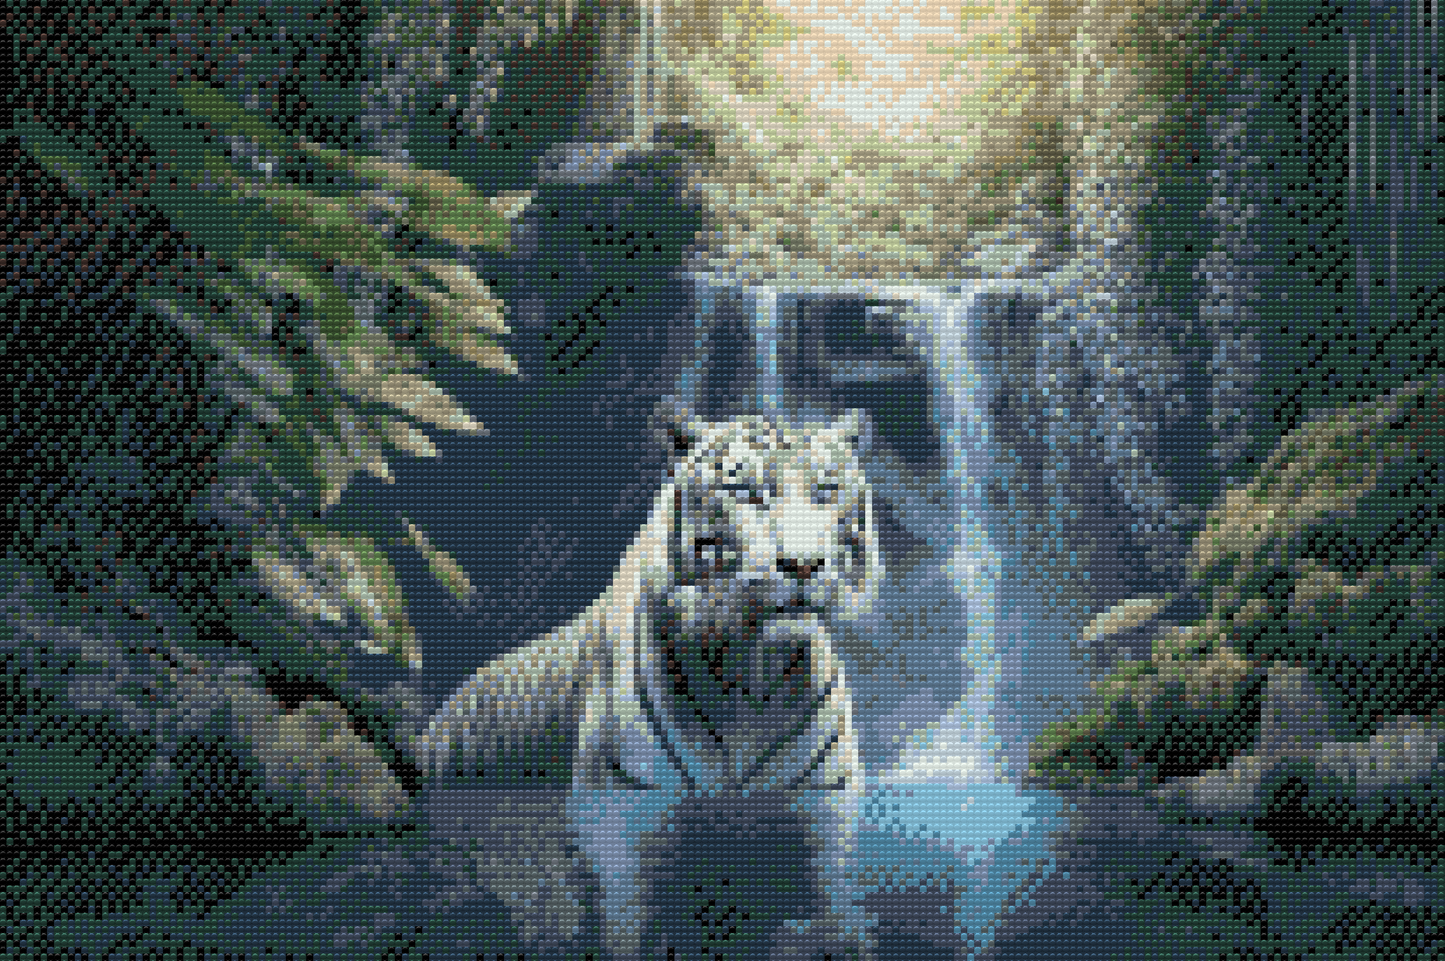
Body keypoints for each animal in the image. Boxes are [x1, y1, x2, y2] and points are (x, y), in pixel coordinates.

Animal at [418, 399, 883, 961]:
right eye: (746, 492)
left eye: (826, 490)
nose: (803, 564)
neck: (751, 676)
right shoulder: (620, 824)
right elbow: (625, 929)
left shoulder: (824, 814)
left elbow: (834, 916)